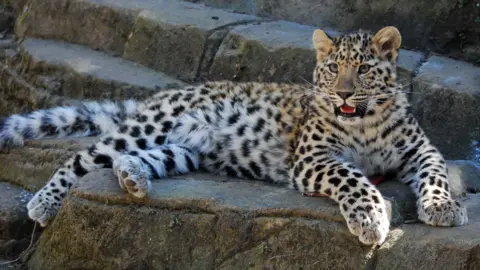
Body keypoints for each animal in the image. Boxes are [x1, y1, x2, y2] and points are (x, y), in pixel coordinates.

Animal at [0, 26, 466, 245]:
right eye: (334, 68)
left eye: (364, 69)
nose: (343, 93)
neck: (364, 123)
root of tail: (165, 93)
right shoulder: (312, 159)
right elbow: (354, 178)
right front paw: (370, 219)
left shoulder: (421, 150)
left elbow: (437, 172)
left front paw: (443, 207)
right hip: (151, 125)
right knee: (82, 159)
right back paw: (45, 201)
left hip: (186, 149)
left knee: (138, 158)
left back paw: (134, 178)